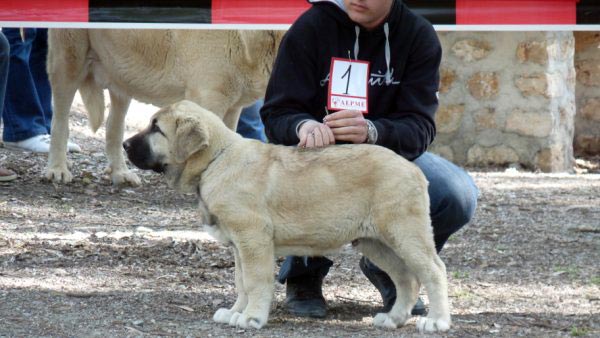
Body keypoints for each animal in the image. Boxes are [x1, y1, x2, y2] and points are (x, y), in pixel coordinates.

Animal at [44, 29, 284, 186]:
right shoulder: (208, 98)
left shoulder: (233, 107)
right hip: (69, 63)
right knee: (60, 121)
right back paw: (57, 169)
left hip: (122, 75)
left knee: (114, 127)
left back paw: (120, 172)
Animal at [122, 100, 450, 332]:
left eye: (157, 129)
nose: (124, 145)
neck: (217, 159)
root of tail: (413, 169)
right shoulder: (239, 246)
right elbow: (241, 281)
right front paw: (236, 311)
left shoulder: (253, 239)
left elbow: (255, 281)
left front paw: (252, 317)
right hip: (375, 241)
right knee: (406, 278)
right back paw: (393, 319)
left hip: (405, 232)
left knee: (434, 270)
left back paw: (438, 321)